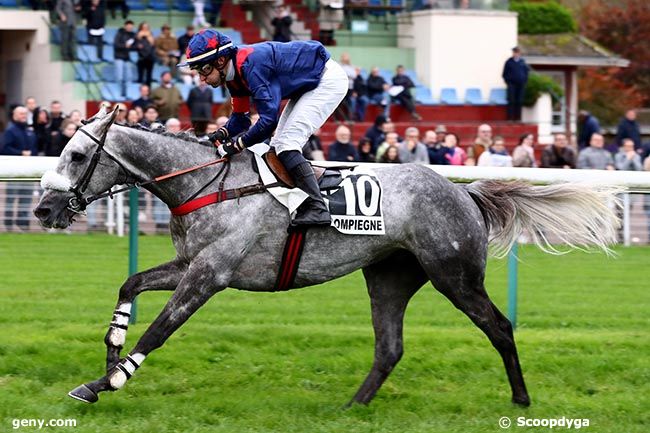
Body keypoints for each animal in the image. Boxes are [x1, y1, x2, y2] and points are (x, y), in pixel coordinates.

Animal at [31, 107, 616, 404]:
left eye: (77, 155)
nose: (42, 208)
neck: (206, 183)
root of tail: (464, 191)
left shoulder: (210, 273)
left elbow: (159, 330)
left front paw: (109, 381)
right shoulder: (187, 264)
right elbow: (130, 284)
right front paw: (108, 357)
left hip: (455, 275)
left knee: (500, 327)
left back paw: (520, 399)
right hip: (389, 277)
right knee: (390, 347)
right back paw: (352, 407)